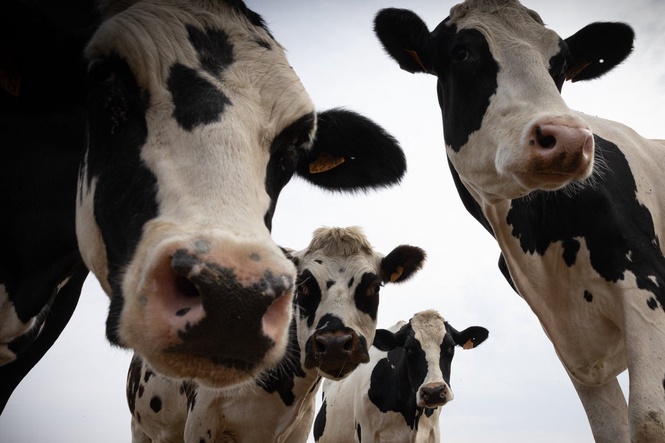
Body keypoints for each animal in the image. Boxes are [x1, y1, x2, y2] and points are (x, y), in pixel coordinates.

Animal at [126, 226, 426, 443]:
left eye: (374, 287)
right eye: (303, 285)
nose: (334, 343)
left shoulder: (297, 429)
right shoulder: (200, 420)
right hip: (141, 429)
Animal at [373, 1, 665, 441]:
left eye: (560, 63)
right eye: (462, 53)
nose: (568, 139)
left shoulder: (646, 287)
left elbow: (649, 418)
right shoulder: (572, 344)